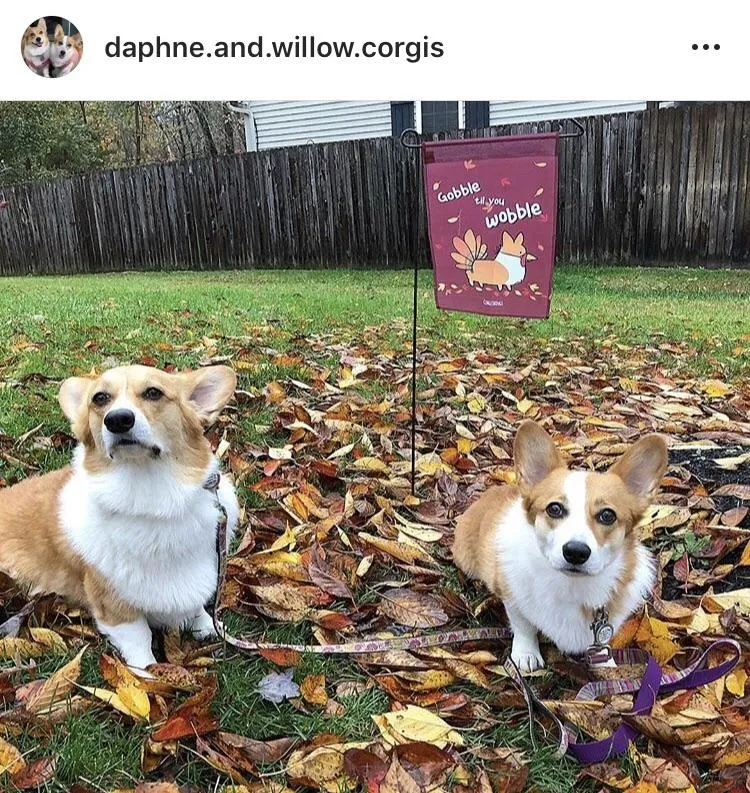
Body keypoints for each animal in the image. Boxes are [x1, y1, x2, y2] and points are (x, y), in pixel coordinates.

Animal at [0, 364, 239, 668]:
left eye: (153, 392)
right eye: (100, 398)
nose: (118, 420)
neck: (149, 497)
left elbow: (197, 605)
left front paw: (208, 626)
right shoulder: (115, 607)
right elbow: (140, 643)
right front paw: (147, 676)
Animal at [452, 420, 668, 668]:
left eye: (607, 515)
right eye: (554, 508)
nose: (575, 552)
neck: (571, 585)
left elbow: (602, 640)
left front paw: (605, 663)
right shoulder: (512, 597)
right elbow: (524, 626)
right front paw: (526, 654)